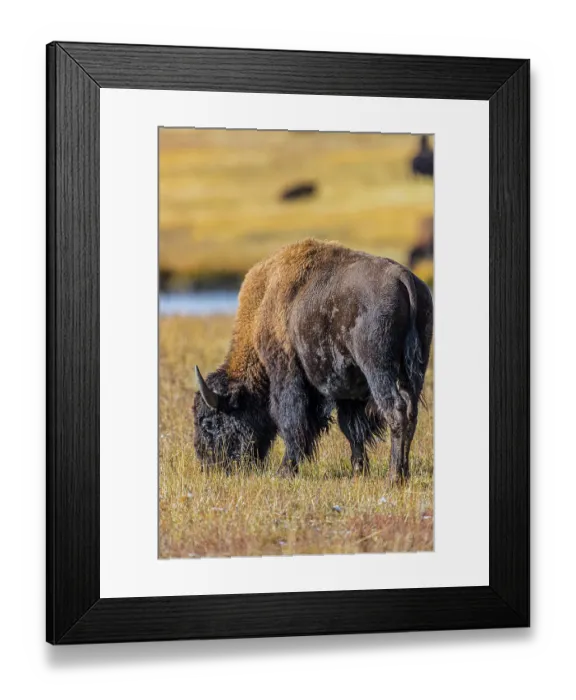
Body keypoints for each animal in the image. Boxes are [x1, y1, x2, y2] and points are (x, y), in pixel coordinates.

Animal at [193, 239, 433, 481]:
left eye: (209, 421)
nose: (208, 465)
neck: (263, 306)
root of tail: (403, 277)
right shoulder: (348, 388)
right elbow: (351, 428)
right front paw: (359, 469)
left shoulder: (286, 374)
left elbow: (291, 422)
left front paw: (284, 470)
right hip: (414, 371)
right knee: (411, 412)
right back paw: (403, 472)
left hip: (379, 370)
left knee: (396, 410)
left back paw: (394, 477)